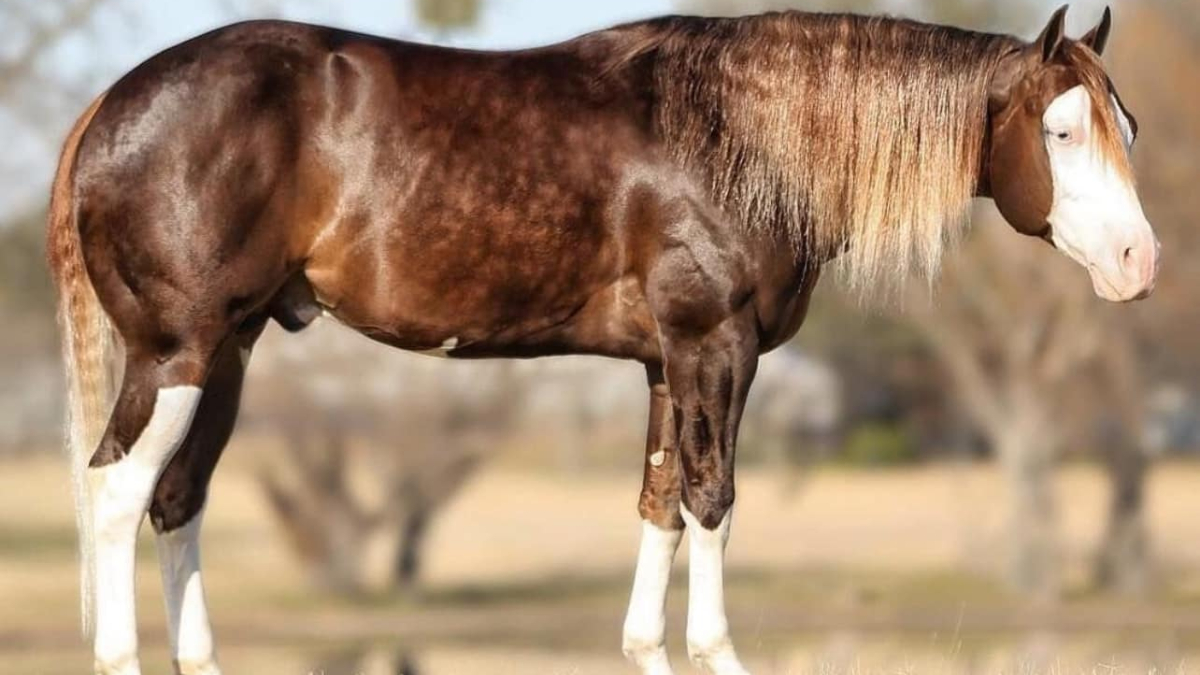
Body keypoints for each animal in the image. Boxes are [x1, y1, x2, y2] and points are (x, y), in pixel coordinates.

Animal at [46, 5, 1157, 674]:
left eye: (1129, 128)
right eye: (1062, 132)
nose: (1139, 261)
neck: (738, 133)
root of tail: (108, 103)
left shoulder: (667, 365)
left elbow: (659, 508)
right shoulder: (714, 345)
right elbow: (711, 502)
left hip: (228, 351)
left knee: (176, 500)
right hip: (178, 353)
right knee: (115, 492)